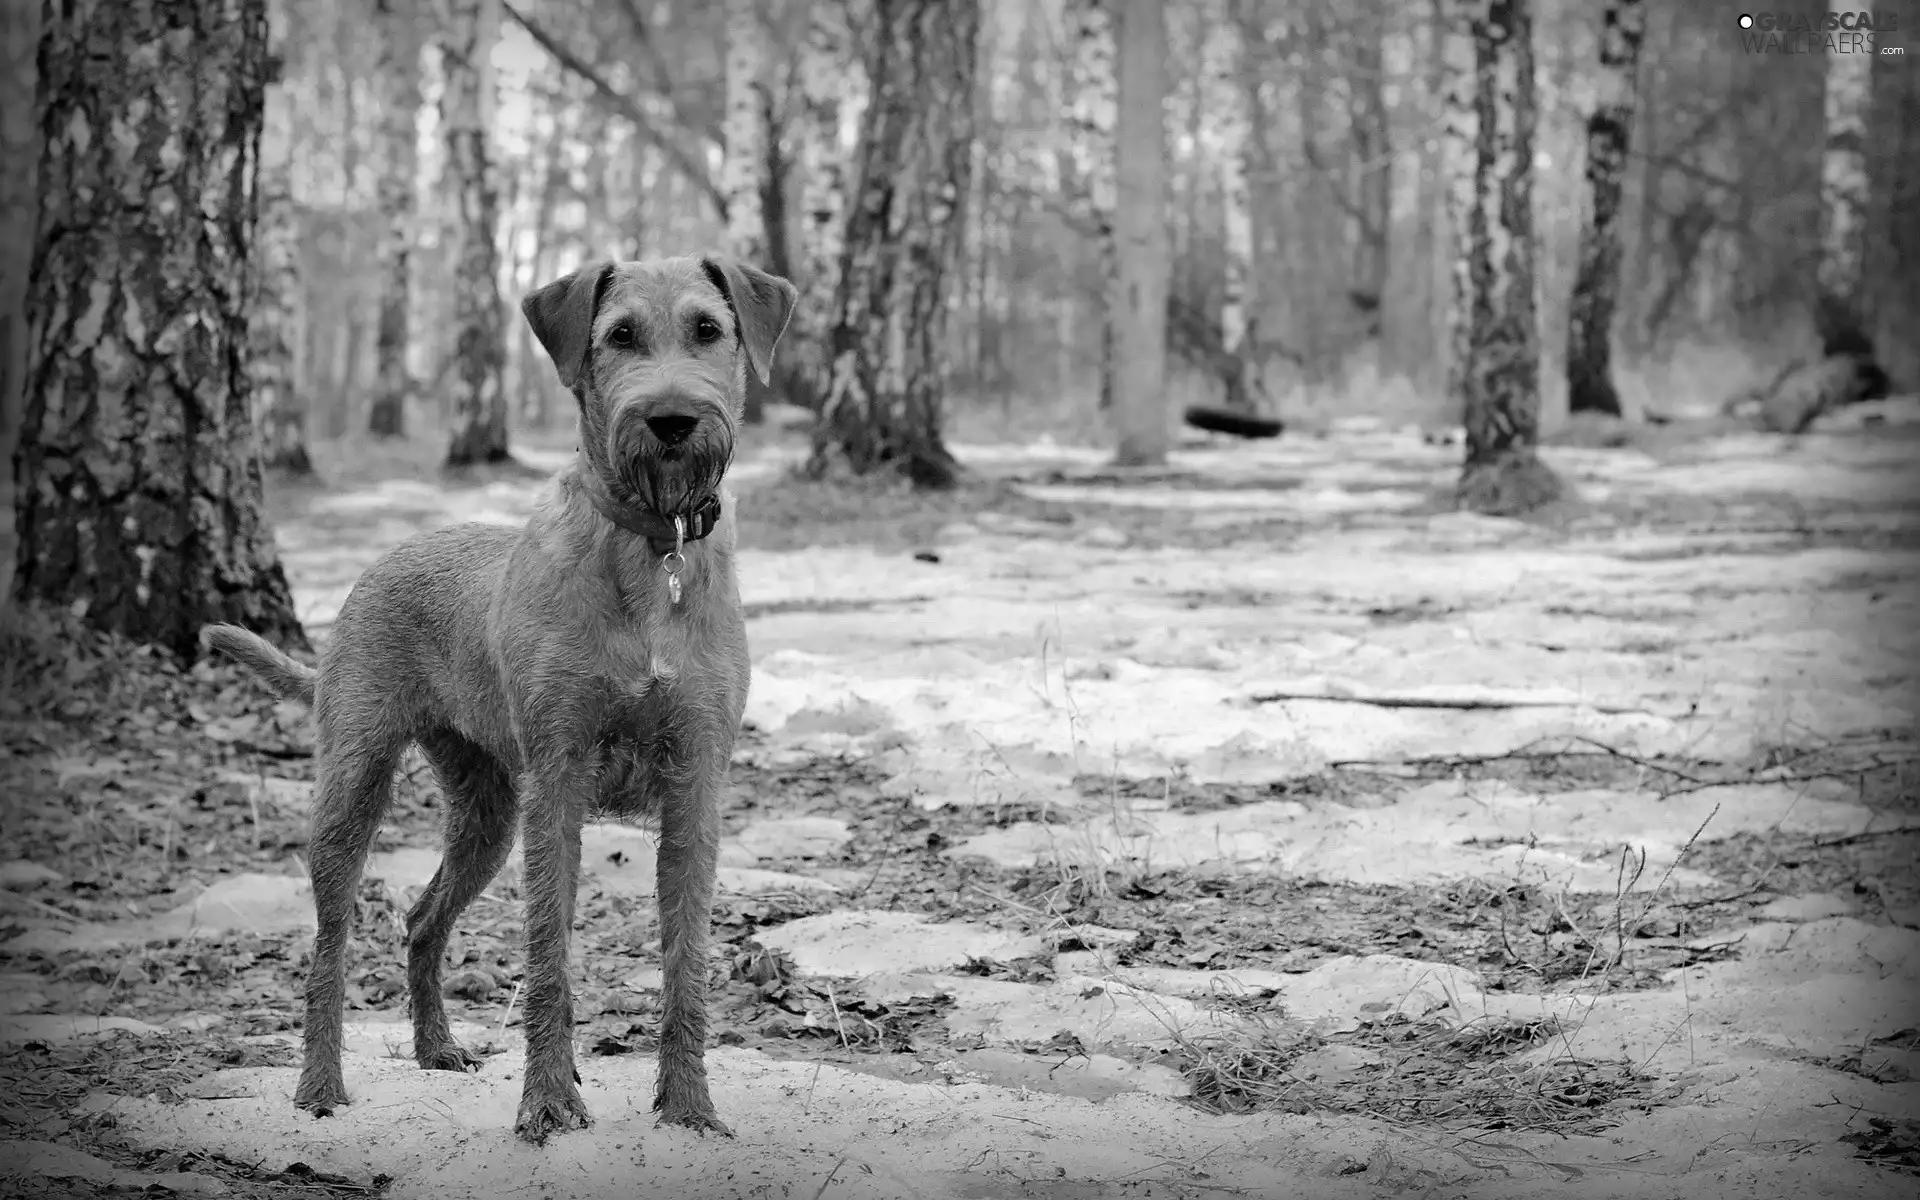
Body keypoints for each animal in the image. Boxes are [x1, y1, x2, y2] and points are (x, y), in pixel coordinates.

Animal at [198, 255, 791, 1144]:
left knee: (421, 919)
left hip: (486, 811)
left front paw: (689, 1107)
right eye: (620, 335)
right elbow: (548, 958)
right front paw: (547, 1104)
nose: (672, 419)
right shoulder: (558, 785)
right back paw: (320, 1085)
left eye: (708, 330)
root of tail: (383, 562)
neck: (651, 549)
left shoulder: (696, 788)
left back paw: (436, 1048)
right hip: (354, 786)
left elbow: (686, 962)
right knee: (329, 947)